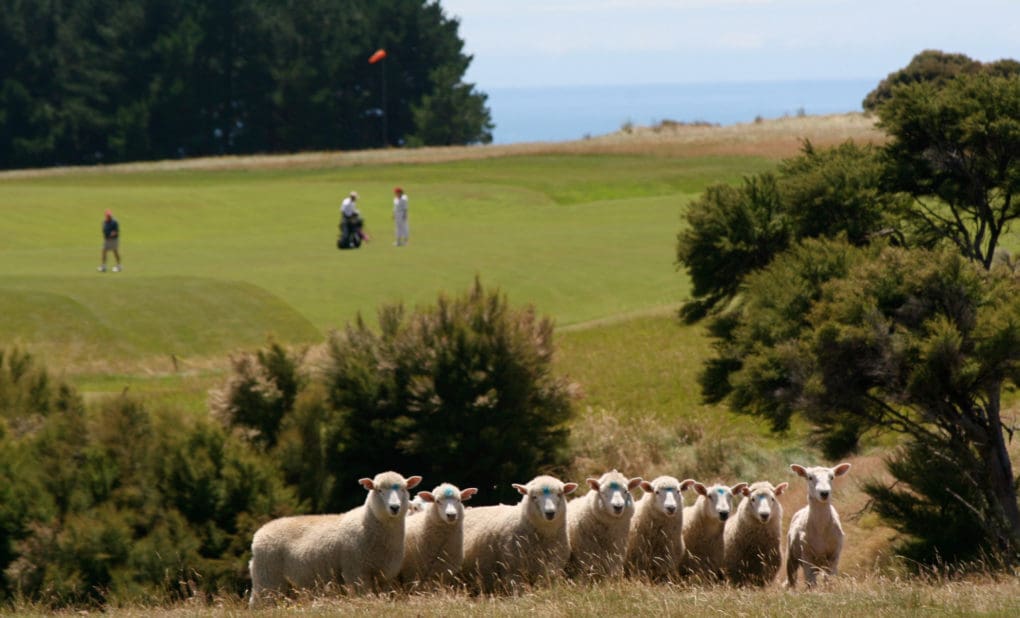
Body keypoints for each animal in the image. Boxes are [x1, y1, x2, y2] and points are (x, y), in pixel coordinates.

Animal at [248, 473, 420, 607]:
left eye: (404, 488)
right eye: (378, 490)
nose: (395, 507)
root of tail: (259, 533)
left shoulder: (386, 574)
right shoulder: (356, 572)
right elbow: (364, 597)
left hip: (285, 586)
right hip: (268, 579)